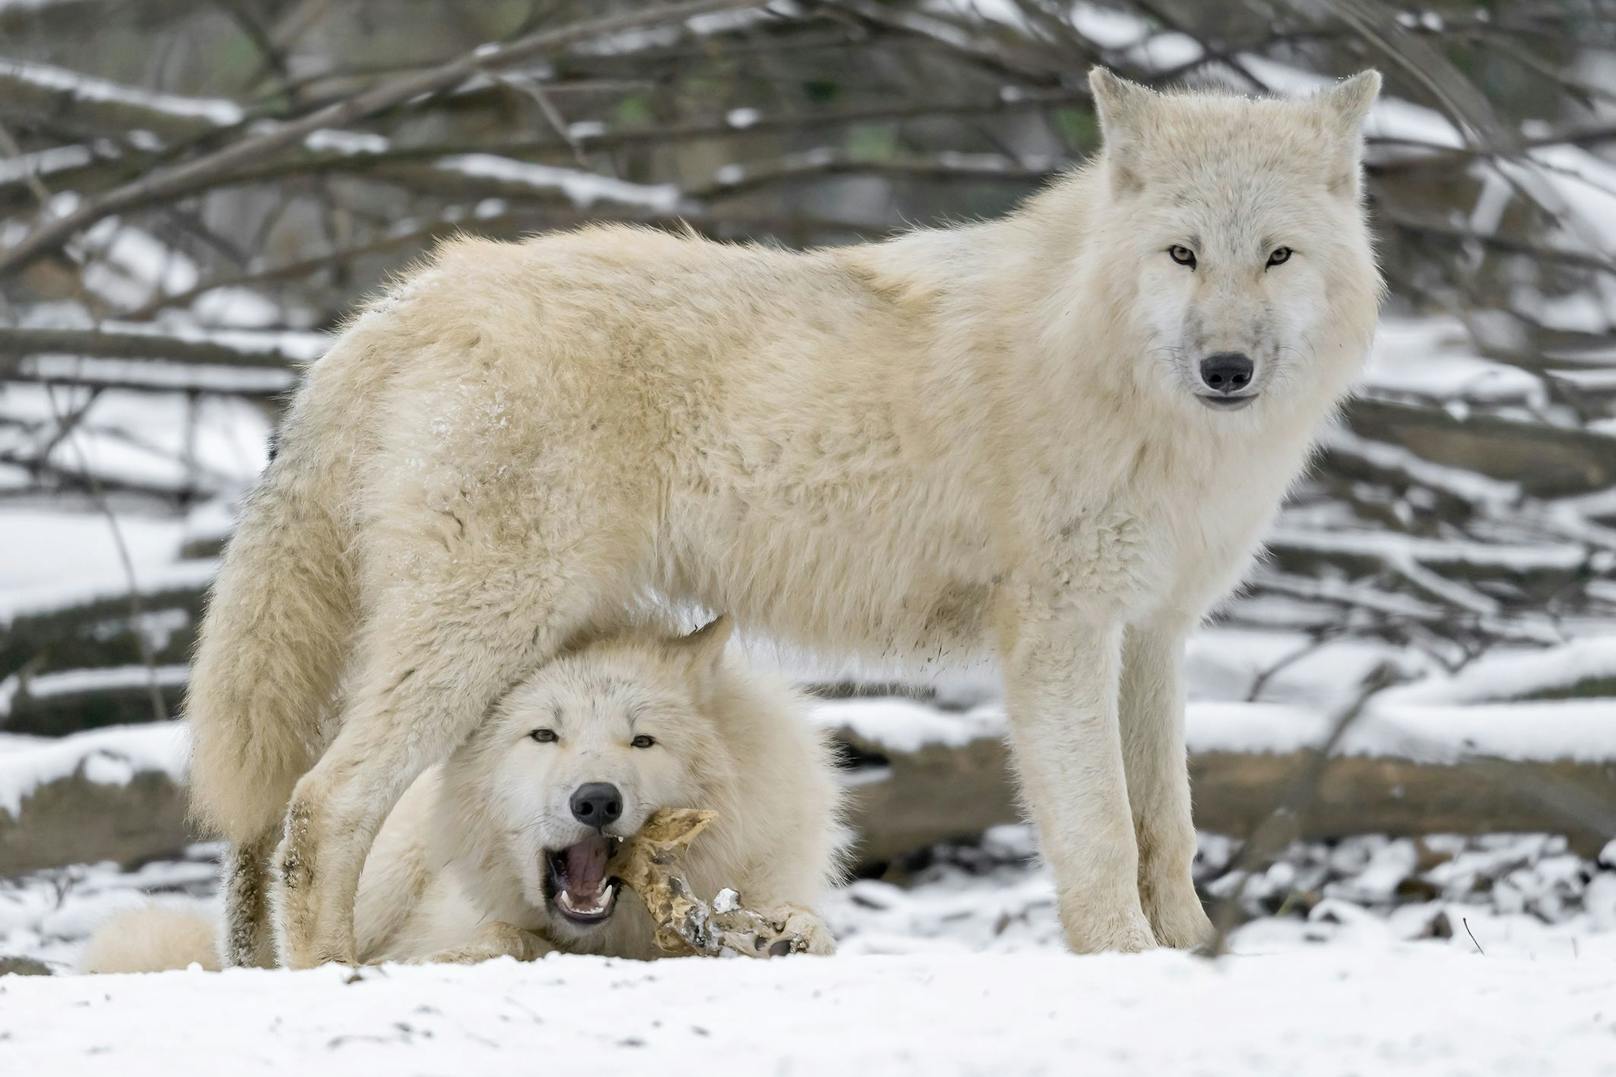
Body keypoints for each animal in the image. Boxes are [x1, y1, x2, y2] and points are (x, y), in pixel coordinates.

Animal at [85, 617, 846, 970]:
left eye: (643, 742)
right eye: (543, 735)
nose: (595, 801)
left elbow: (812, 924)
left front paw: (789, 934)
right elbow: (498, 938)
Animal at [185, 67, 1376, 957]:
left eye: (1276, 256)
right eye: (1181, 254)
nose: (1227, 369)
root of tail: (395, 306)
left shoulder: (1154, 632)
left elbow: (1164, 827)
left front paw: (1188, 959)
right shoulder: (1060, 635)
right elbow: (1096, 838)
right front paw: (1126, 964)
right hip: (477, 638)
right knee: (322, 805)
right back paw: (337, 977)